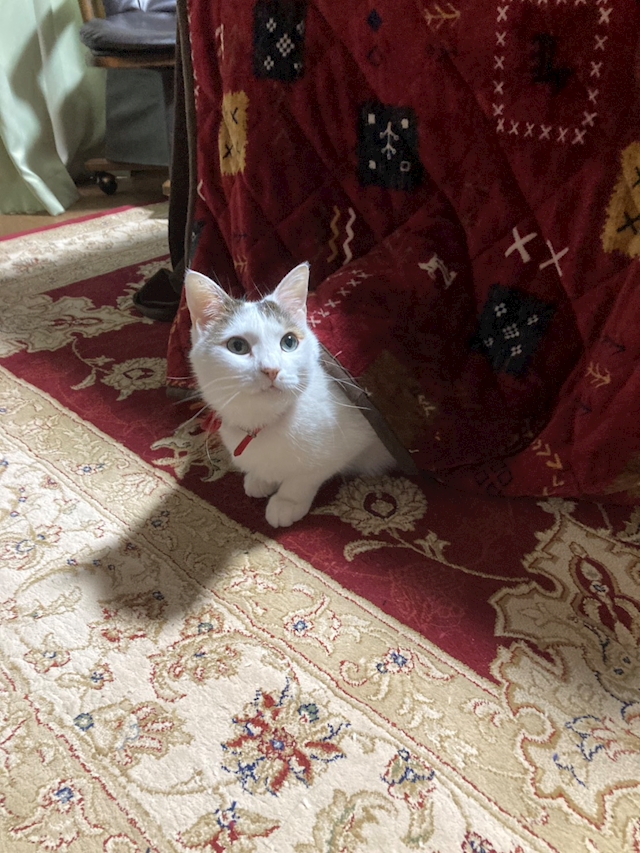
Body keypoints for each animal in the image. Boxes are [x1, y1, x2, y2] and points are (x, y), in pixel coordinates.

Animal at [184, 262, 395, 527]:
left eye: (289, 342)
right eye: (237, 346)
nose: (271, 369)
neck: (265, 424)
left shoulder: (359, 436)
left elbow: (306, 476)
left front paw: (287, 501)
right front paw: (260, 478)